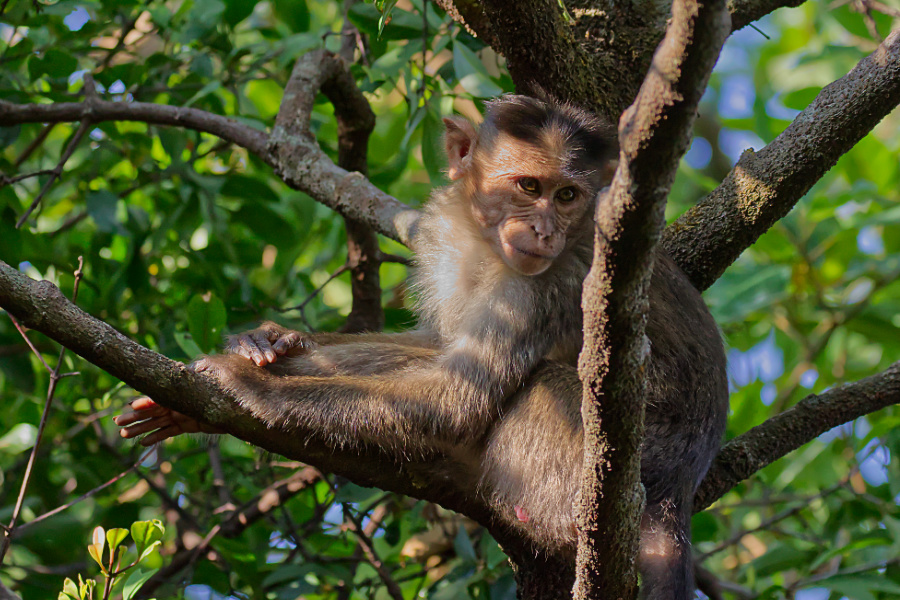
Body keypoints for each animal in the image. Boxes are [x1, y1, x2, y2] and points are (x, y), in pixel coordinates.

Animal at [116, 95, 728, 599]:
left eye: (569, 195)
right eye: (530, 187)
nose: (546, 231)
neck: (486, 244)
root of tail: (674, 495)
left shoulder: (549, 285)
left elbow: (454, 395)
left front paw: (247, 385)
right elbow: (435, 347)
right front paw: (269, 346)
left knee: (544, 388)